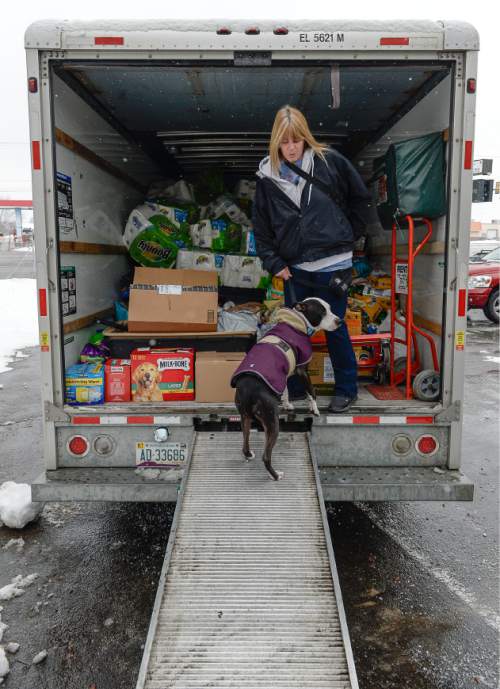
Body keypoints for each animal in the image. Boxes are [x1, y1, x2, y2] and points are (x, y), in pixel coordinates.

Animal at [231, 298, 344, 482]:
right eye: (322, 312)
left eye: (330, 308)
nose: (339, 321)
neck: (298, 320)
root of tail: (247, 387)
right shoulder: (302, 369)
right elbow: (311, 391)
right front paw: (315, 409)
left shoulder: (283, 374)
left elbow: (284, 389)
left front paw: (287, 404)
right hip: (271, 421)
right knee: (266, 456)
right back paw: (276, 475)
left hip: (245, 416)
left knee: (245, 441)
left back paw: (249, 455)